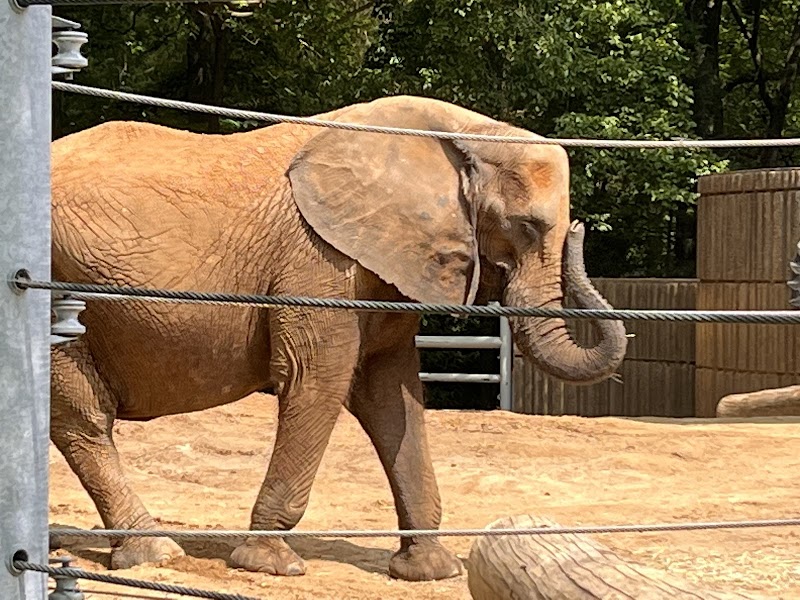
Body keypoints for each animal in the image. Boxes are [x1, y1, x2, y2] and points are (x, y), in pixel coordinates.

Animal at [49, 94, 627, 582]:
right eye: (527, 226)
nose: (582, 231)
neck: (460, 133)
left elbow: (392, 393)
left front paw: (430, 572)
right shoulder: (318, 262)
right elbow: (317, 380)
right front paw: (269, 564)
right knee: (83, 418)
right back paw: (154, 553)